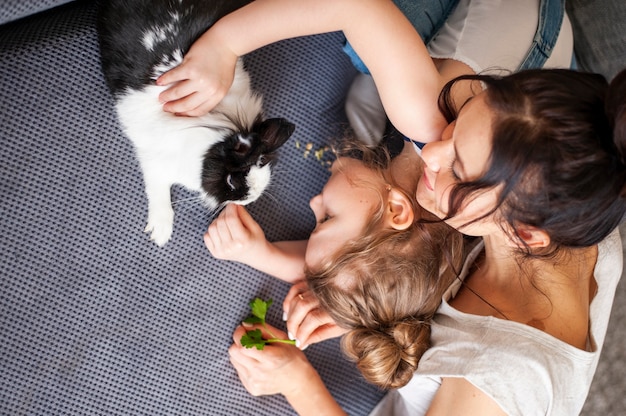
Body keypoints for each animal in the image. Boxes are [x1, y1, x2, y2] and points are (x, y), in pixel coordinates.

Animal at [97, 0, 292, 245]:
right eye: (231, 181)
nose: (247, 200)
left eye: (264, 161)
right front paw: (160, 233)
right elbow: (157, 189)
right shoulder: (154, 162)